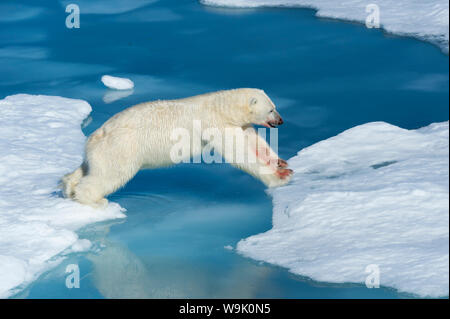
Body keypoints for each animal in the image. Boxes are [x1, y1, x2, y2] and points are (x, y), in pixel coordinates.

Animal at [61, 88, 292, 208]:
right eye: (271, 109)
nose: (281, 121)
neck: (223, 107)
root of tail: (96, 135)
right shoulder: (215, 124)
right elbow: (238, 153)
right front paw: (279, 176)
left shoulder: (239, 124)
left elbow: (254, 143)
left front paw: (281, 164)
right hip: (120, 149)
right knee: (109, 175)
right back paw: (94, 200)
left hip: (98, 151)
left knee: (87, 168)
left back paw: (68, 186)